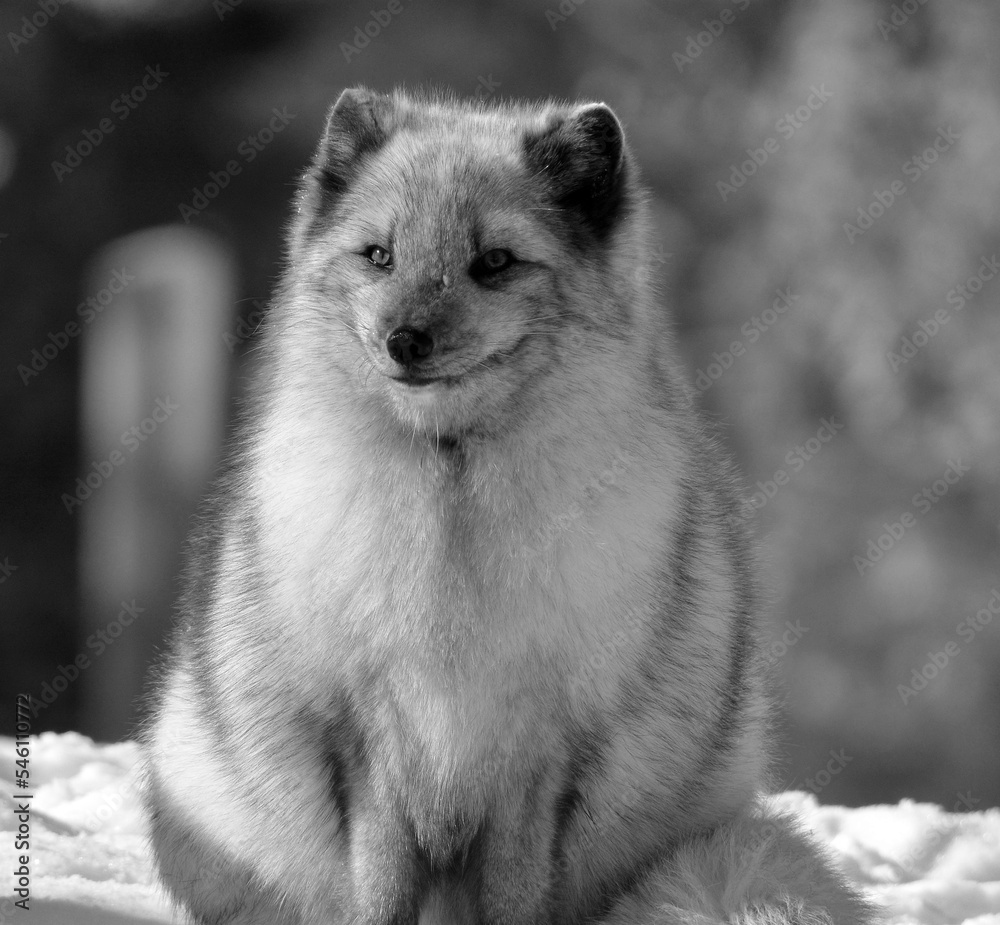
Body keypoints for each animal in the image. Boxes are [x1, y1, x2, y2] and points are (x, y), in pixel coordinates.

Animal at [141, 87, 875, 925]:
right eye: (380, 255)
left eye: (493, 262)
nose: (404, 340)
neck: (451, 513)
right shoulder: (368, 731)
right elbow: (380, 881)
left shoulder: (540, 743)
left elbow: (517, 889)